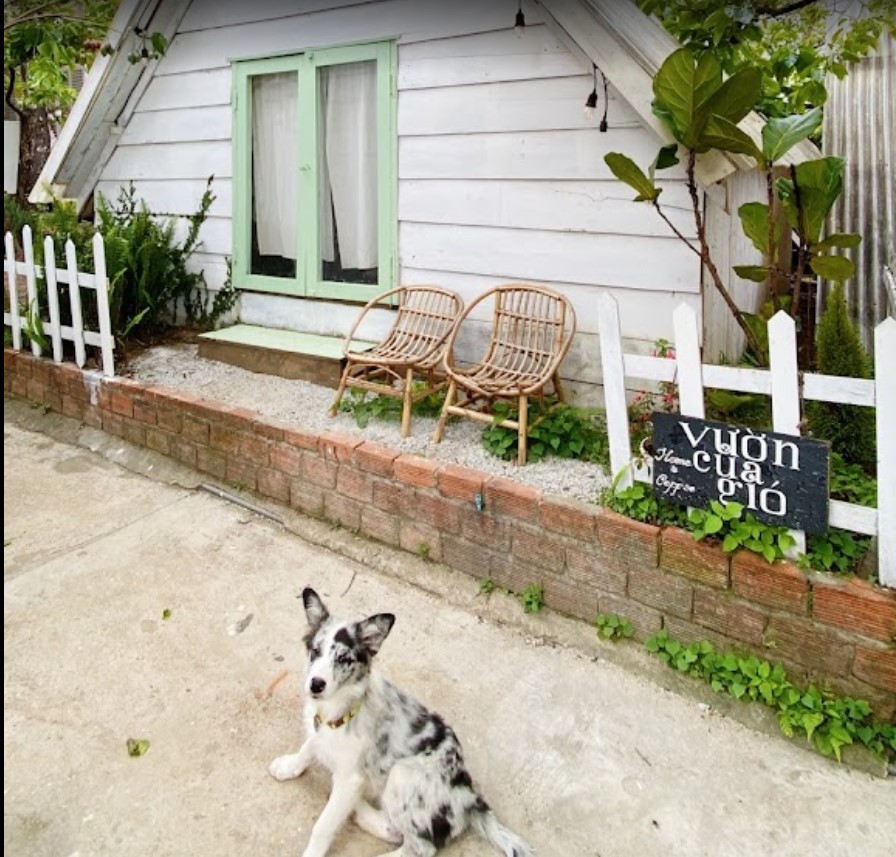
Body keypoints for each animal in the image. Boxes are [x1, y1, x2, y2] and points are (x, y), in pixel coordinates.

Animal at [266, 588, 532, 856]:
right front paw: (289, 765)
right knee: (393, 829)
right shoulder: (320, 732)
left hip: (401, 774)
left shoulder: (350, 777)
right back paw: (360, 809)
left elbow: (323, 825)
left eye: (343, 659)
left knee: (419, 847)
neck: (342, 706)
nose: (316, 685)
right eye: (315, 650)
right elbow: (309, 746)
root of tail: (471, 798)